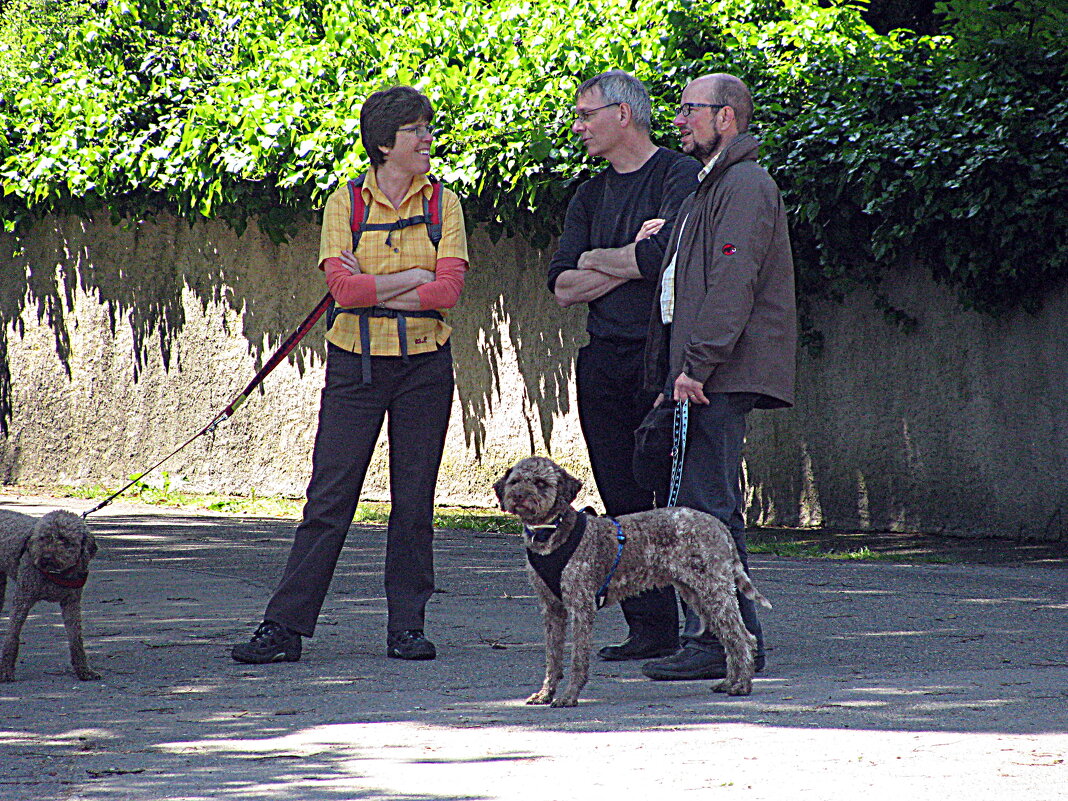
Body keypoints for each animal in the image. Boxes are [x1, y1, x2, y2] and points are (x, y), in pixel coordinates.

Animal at [491, 457, 768, 709]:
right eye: (515, 481)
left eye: (541, 483)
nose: (518, 496)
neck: (550, 531)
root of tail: (718, 525)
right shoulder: (552, 609)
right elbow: (553, 657)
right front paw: (545, 693)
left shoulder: (581, 607)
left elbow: (577, 658)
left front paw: (569, 696)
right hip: (698, 596)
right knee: (732, 639)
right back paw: (730, 681)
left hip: (713, 591)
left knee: (743, 638)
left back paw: (742, 685)